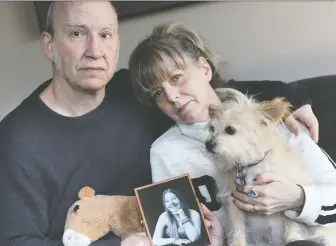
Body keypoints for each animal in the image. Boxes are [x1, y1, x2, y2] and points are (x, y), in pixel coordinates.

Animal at [205, 89, 334, 246]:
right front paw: (237, 243)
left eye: (230, 130)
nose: (208, 144)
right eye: (212, 129)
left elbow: (291, 224)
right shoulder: (233, 203)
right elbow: (237, 228)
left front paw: (292, 238)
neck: (250, 166)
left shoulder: (288, 199)